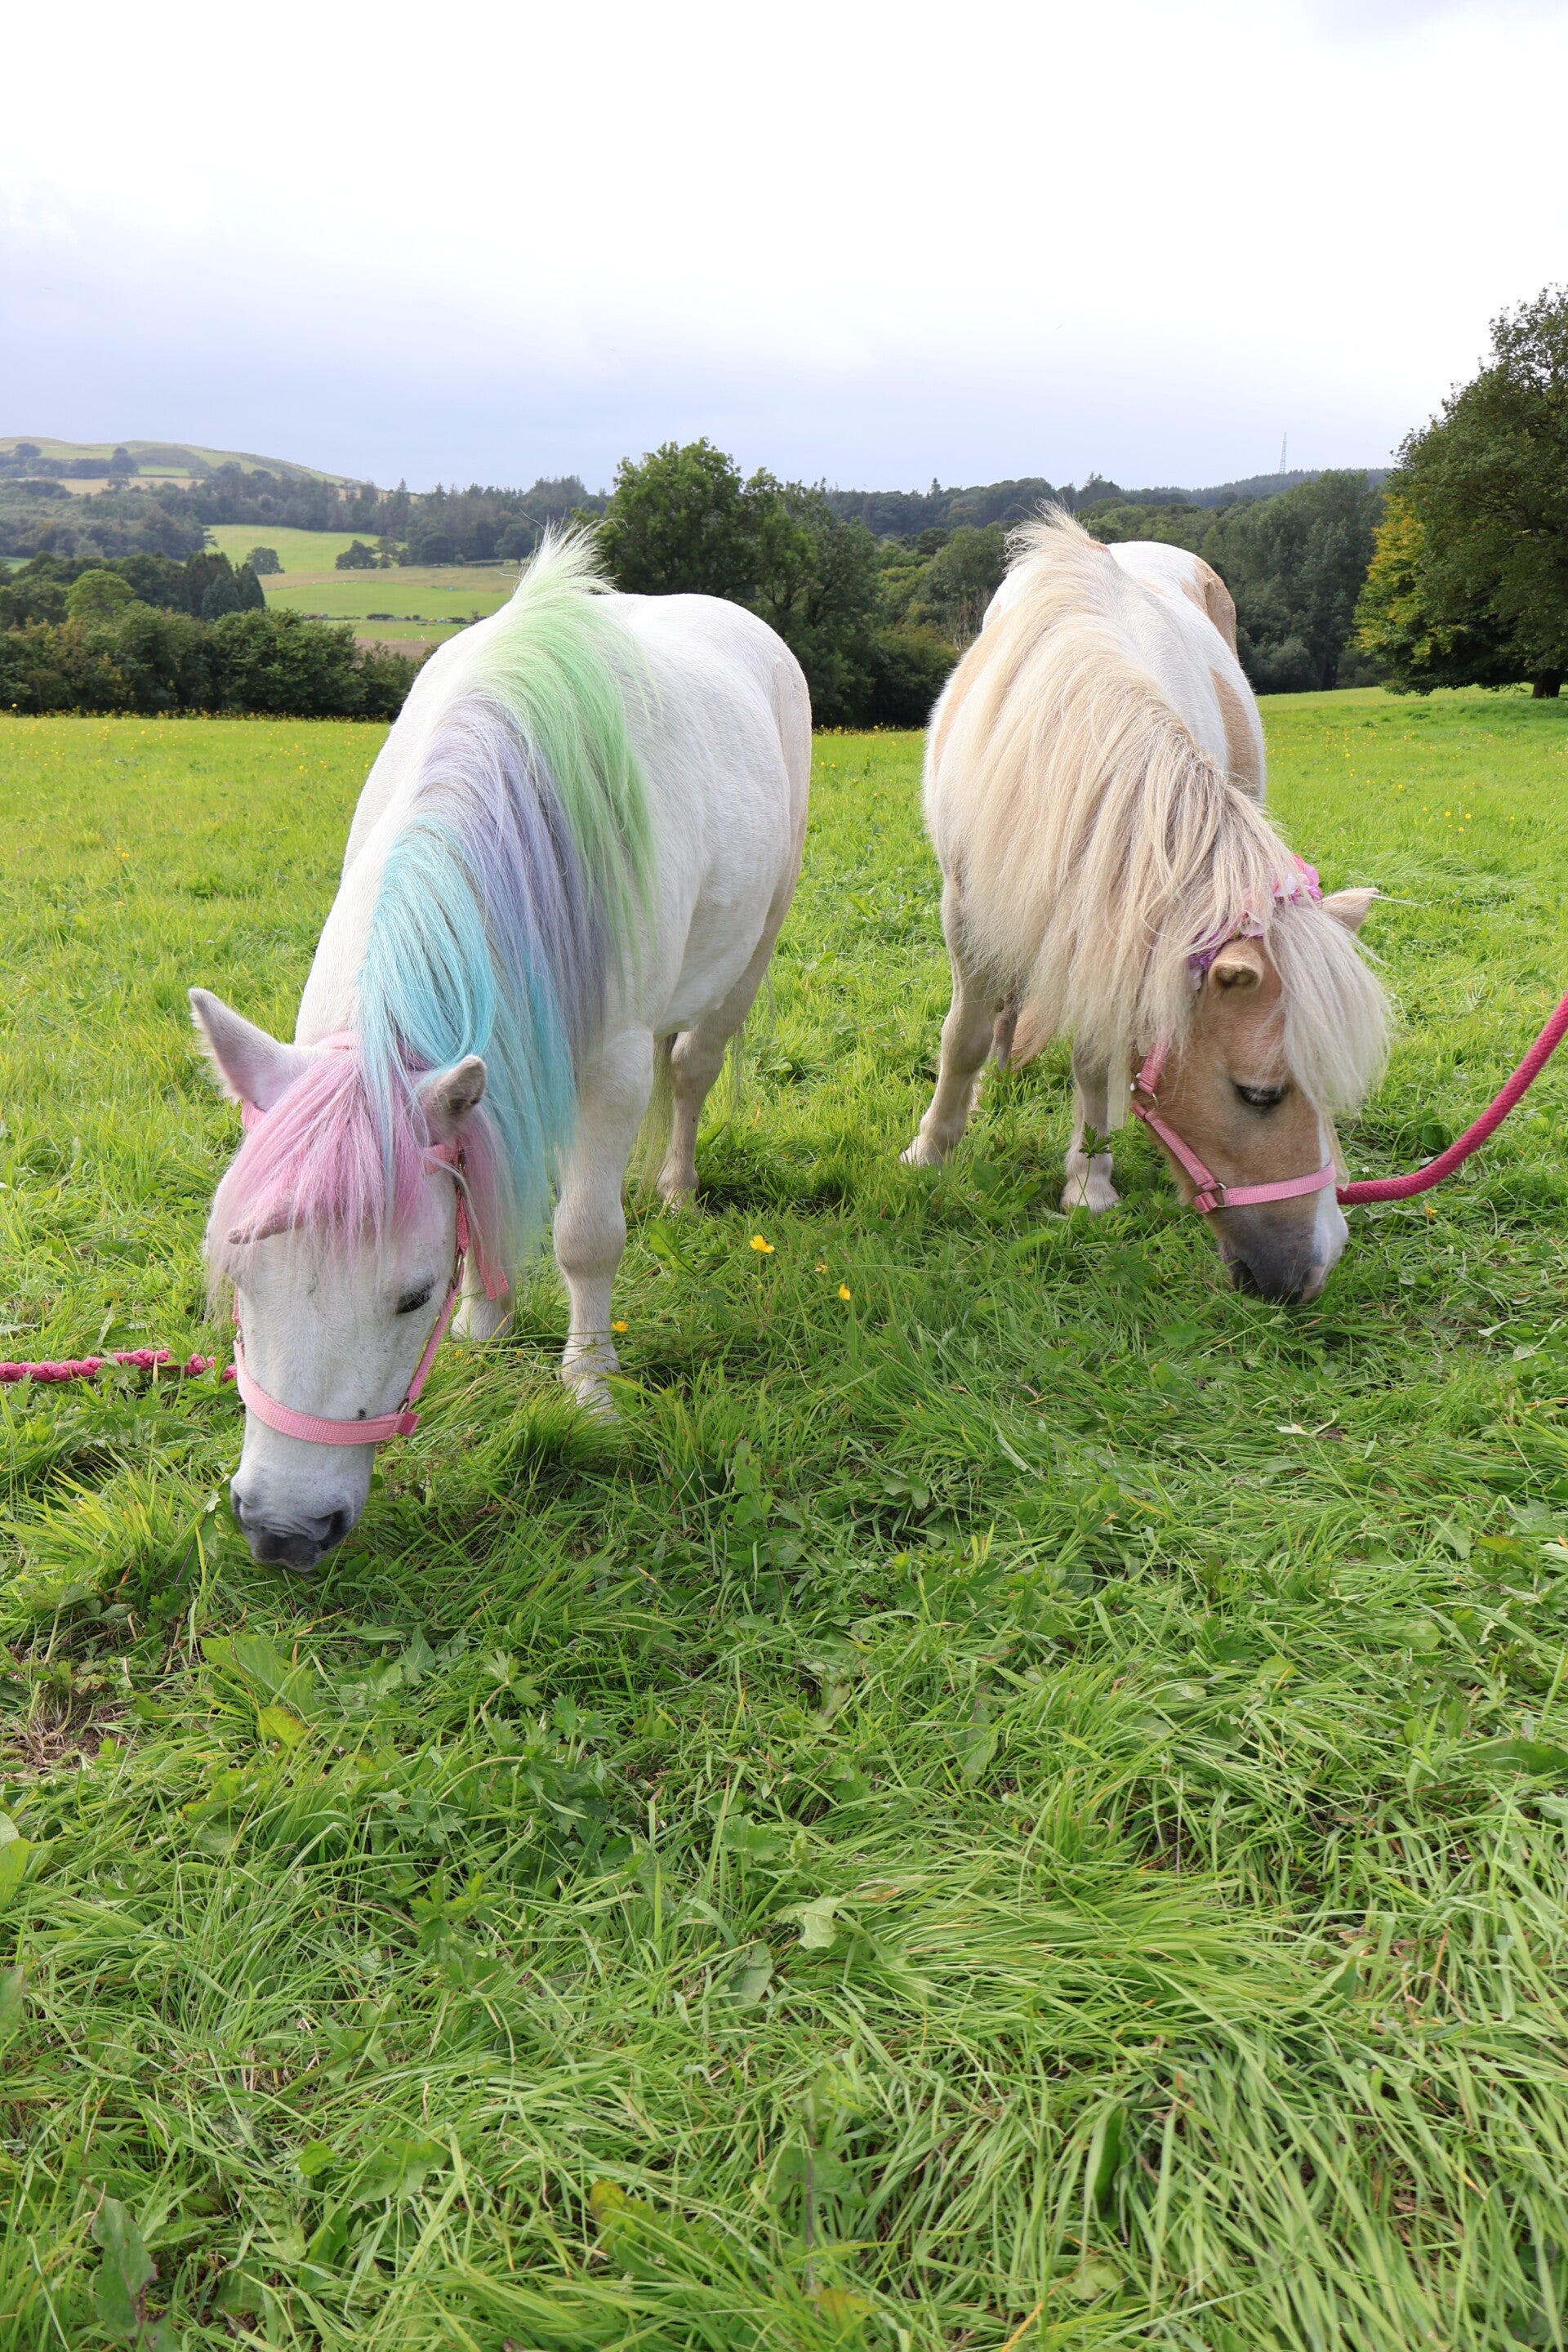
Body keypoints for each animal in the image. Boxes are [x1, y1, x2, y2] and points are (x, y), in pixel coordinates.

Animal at [192, 535, 810, 1572]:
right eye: (242, 1280)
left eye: (410, 1299)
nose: (282, 1532)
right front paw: (488, 1319)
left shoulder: (612, 1069)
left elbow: (587, 1235)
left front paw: (590, 1387)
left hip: (748, 956)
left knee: (692, 1071)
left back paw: (678, 1186)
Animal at [902, 513, 1388, 1303]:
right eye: (1259, 1095)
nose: (1315, 1268)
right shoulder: (966, 904)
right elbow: (962, 1038)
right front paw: (932, 1149)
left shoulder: (1114, 927)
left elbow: (1096, 1055)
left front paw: (1088, 1181)